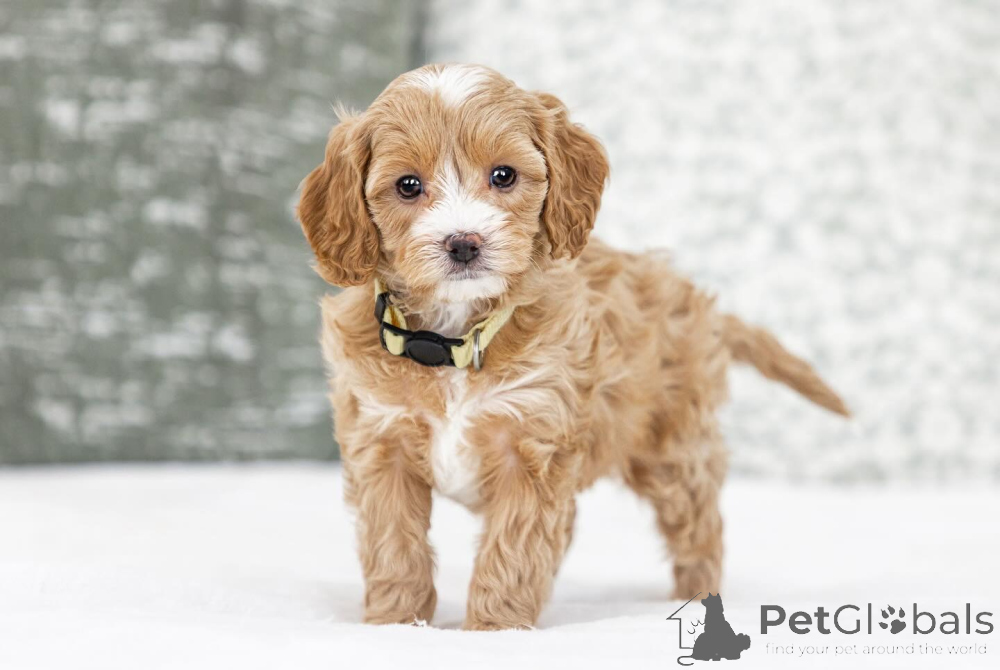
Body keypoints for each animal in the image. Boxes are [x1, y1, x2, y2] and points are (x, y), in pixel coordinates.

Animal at [297, 63, 848, 631]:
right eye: (408, 185)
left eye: (503, 176)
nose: (464, 243)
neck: (453, 338)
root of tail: (696, 299)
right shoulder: (382, 445)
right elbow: (395, 547)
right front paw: (396, 623)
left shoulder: (531, 447)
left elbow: (511, 551)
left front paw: (494, 629)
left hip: (671, 450)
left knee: (699, 527)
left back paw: (697, 598)